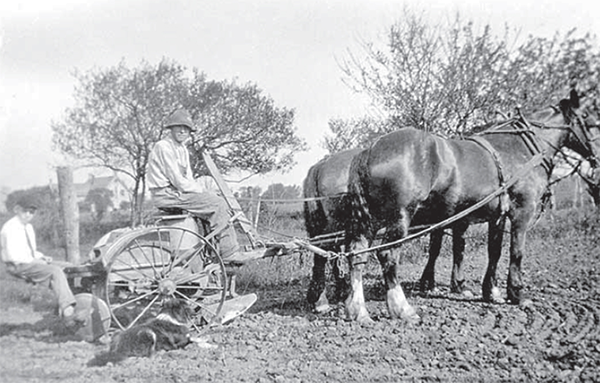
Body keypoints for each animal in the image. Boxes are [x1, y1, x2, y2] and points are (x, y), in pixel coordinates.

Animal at [342, 91, 600, 322]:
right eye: (588, 116)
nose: (596, 157)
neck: (521, 148)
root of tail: (370, 150)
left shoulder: (497, 215)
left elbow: (494, 252)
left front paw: (491, 292)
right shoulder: (521, 211)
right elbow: (516, 251)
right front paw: (517, 294)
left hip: (370, 221)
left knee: (357, 256)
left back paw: (358, 311)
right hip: (400, 217)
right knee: (387, 255)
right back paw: (402, 308)